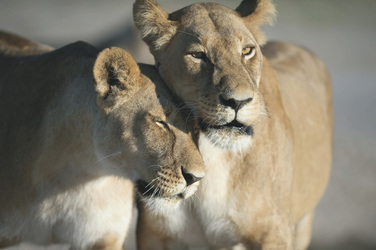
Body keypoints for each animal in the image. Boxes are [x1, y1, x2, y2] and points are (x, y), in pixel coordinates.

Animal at [134, 0, 334, 249]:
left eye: (247, 51)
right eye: (197, 55)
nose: (238, 101)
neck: (211, 153)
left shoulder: (274, 232)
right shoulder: (154, 235)